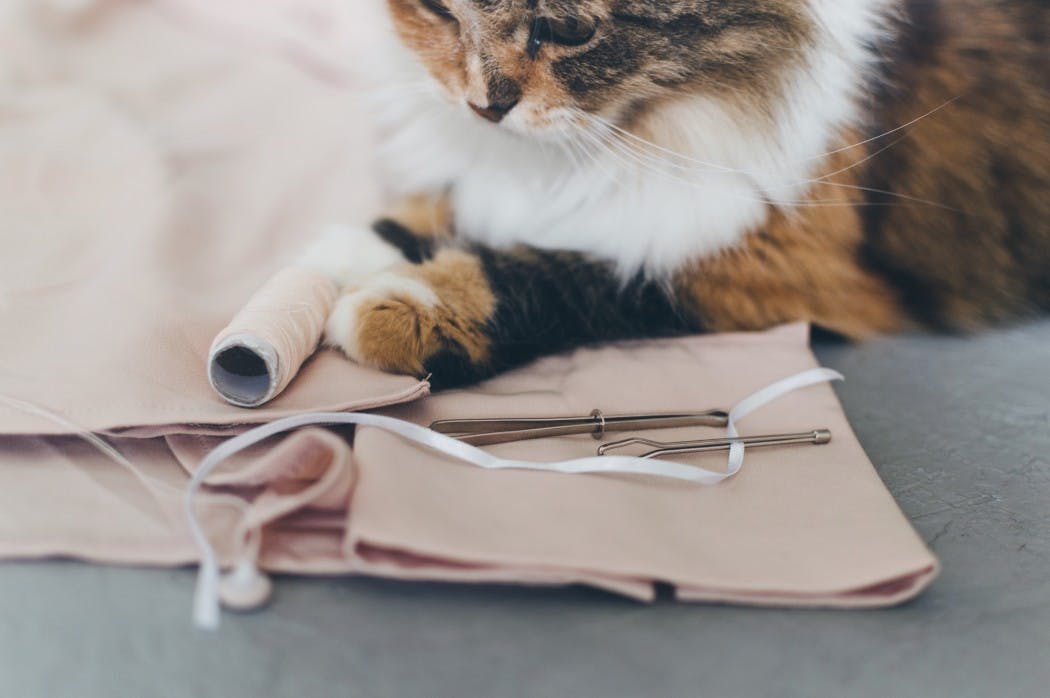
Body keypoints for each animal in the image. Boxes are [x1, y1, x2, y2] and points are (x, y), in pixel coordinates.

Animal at [312, 0, 1050, 386]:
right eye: (440, 10)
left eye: (570, 28)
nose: (484, 107)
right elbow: (436, 210)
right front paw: (342, 255)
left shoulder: (773, 266)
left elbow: (572, 270)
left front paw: (402, 304)